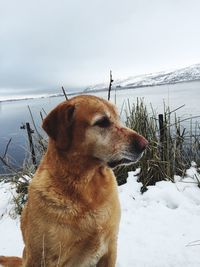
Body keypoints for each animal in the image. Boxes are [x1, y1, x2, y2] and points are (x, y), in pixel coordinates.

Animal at [0, 95, 147, 266]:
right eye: (102, 121)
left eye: (118, 117)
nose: (145, 144)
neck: (86, 186)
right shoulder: (44, 258)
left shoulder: (110, 249)